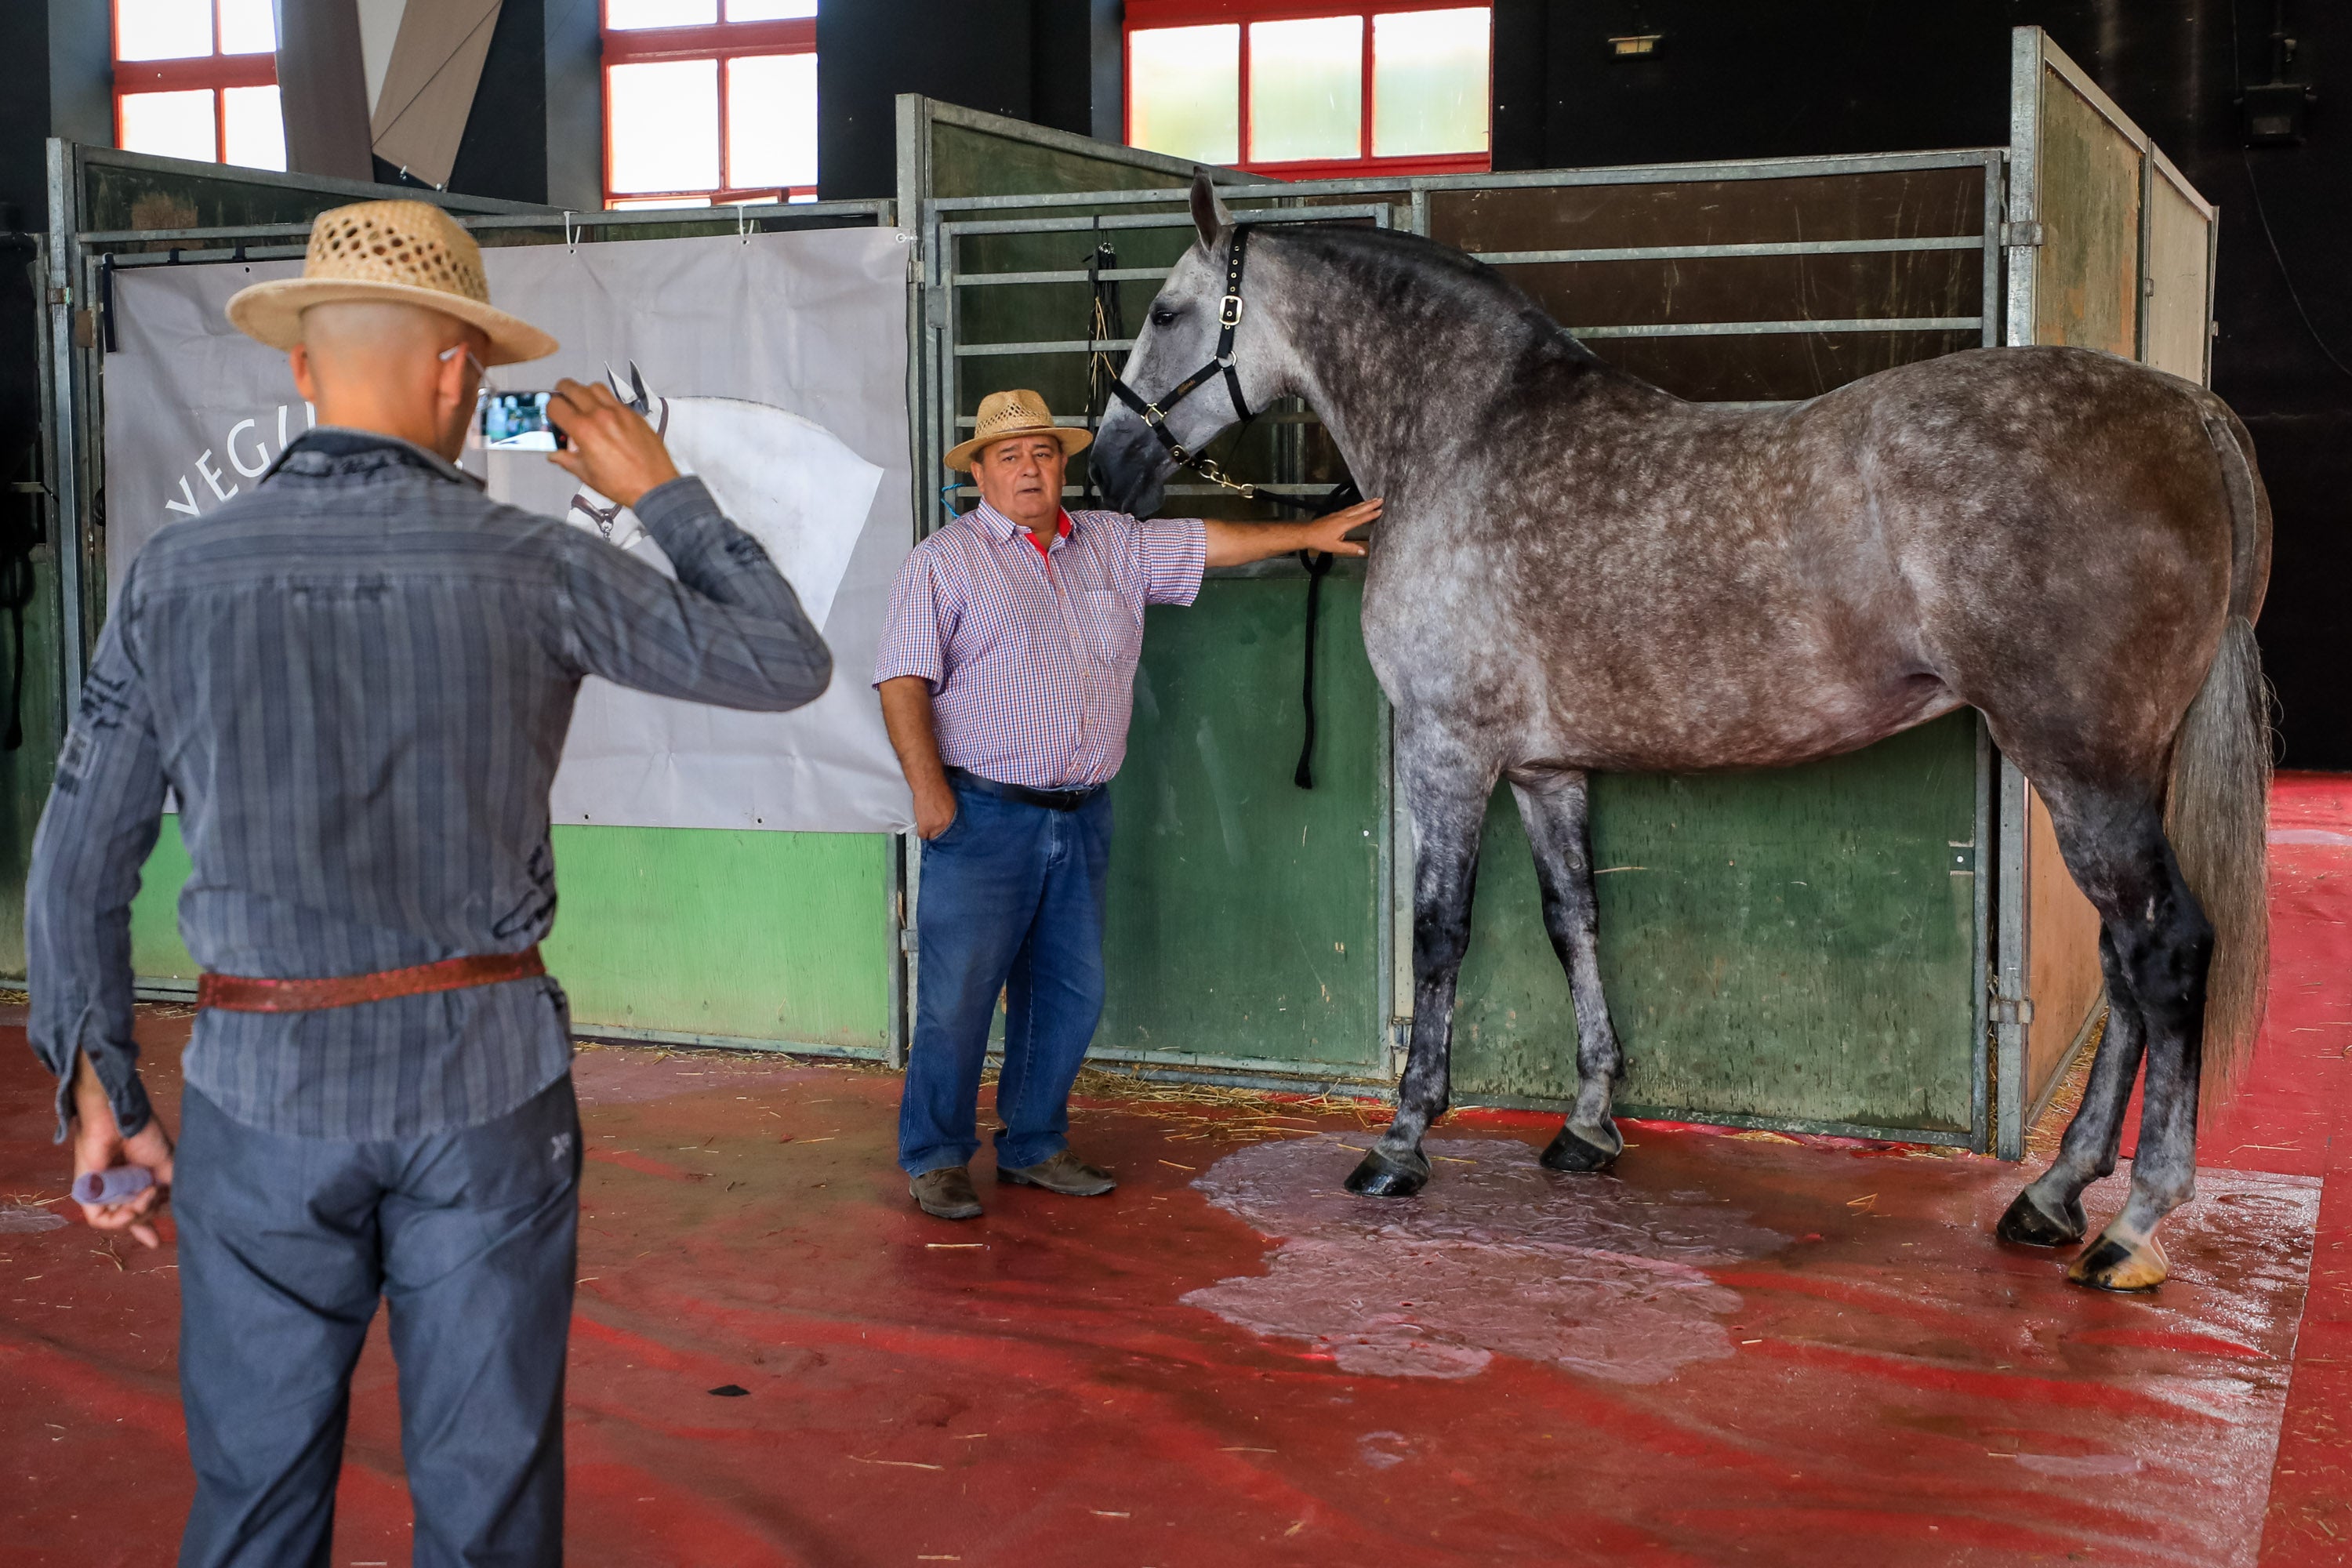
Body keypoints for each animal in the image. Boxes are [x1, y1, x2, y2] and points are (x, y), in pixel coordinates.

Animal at [1091, 177, 2267, 1298]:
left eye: (1164, 311)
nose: (1107, 466)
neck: (1465, 440)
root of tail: (2187, 410)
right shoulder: (1546, 768)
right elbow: (1576, 921)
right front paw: (1588, 1125)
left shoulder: (1448, 748)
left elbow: (1439, 937)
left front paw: (1402, 1141)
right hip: (2111, 771)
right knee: (2122, 963)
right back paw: (2054, 1192)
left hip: (2082, 767)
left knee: (2165, 950)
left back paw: (2130, 1227)